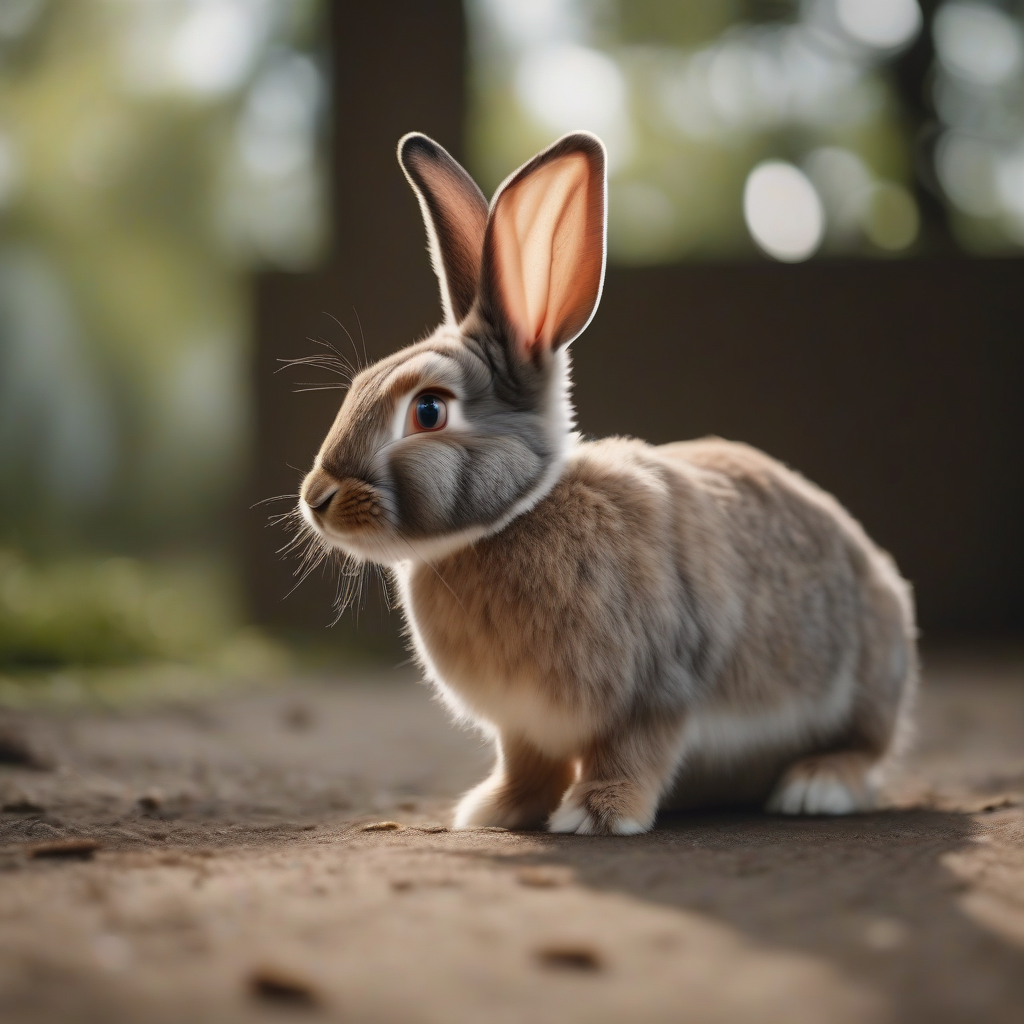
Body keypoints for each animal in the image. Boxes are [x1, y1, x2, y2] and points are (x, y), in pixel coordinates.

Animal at [298, 130, 917, 835]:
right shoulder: (522, 725)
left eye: (428, 411)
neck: (514, 516)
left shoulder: (655, 693)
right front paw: (495, 811)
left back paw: (815, 788)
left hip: (869, 681)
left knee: (865, 750)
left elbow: (631, 753)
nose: (315, 500)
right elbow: (525, 764)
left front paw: (596, 815)